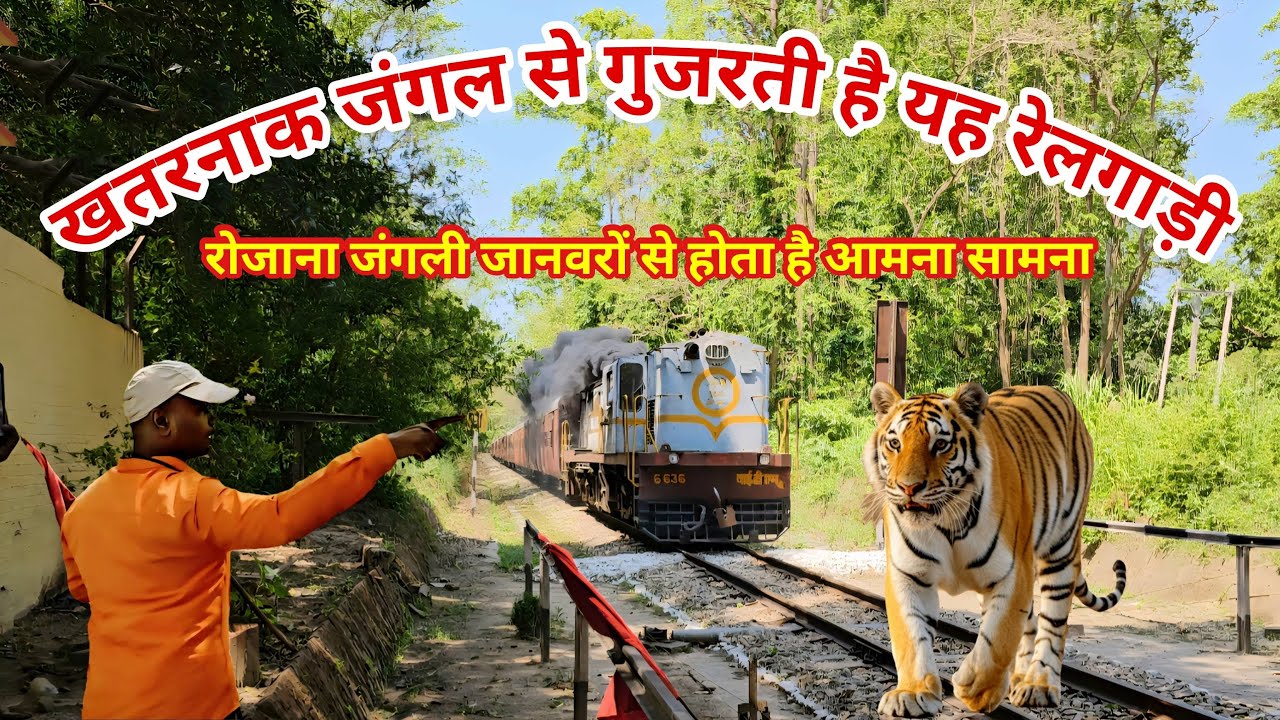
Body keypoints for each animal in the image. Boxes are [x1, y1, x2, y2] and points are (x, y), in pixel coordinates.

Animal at [861, 382, 1126, 716]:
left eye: (940, 445)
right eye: (895, 443)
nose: (909, 487)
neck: (946, 523)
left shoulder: (1013, 573)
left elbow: (998, 638)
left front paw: (975, 689)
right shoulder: (908, 575)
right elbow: (909, 638)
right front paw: (911, 693)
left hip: (1061, 547)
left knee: (1052, 624)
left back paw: (1038, 685)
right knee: (1030, 624)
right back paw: (1018, 679)